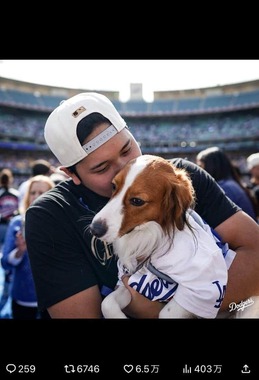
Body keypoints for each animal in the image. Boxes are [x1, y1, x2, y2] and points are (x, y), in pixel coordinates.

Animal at [90, 154, 259, 318]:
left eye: (137, 201)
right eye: (113, 186)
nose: (94, 229)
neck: (152, 235)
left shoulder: (205, 286)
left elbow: (166, 312)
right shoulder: (130, 281)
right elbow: (107, 303)